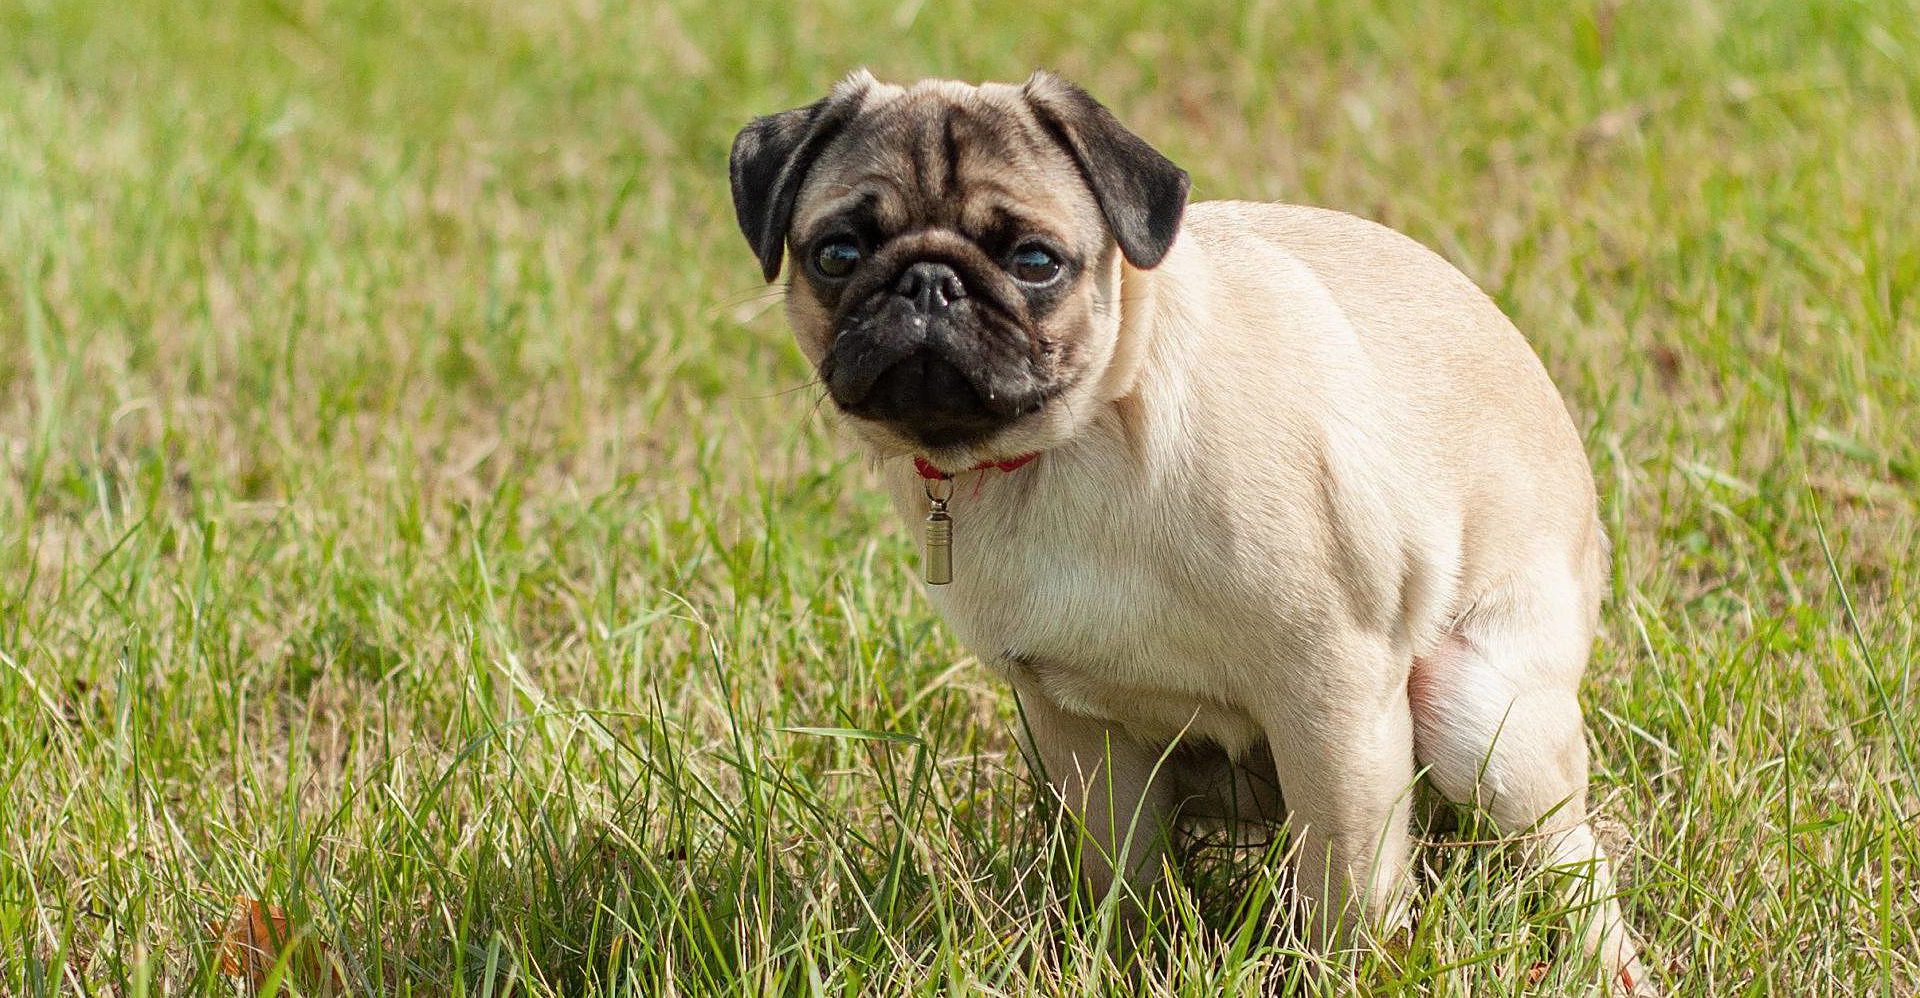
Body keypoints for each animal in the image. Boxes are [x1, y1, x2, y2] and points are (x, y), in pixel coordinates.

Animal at [725, 68, 1658, 990]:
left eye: (1035, 262)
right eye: (837, 255)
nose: (928, 283)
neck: (1077, 442)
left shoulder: (1334, 699)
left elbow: (1345, 893)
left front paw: (1340, 971)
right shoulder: (1074, 725)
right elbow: (1120, 872)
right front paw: (1117, 958)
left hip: (1476, 707)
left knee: (1570, 860)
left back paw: (1606, 963)